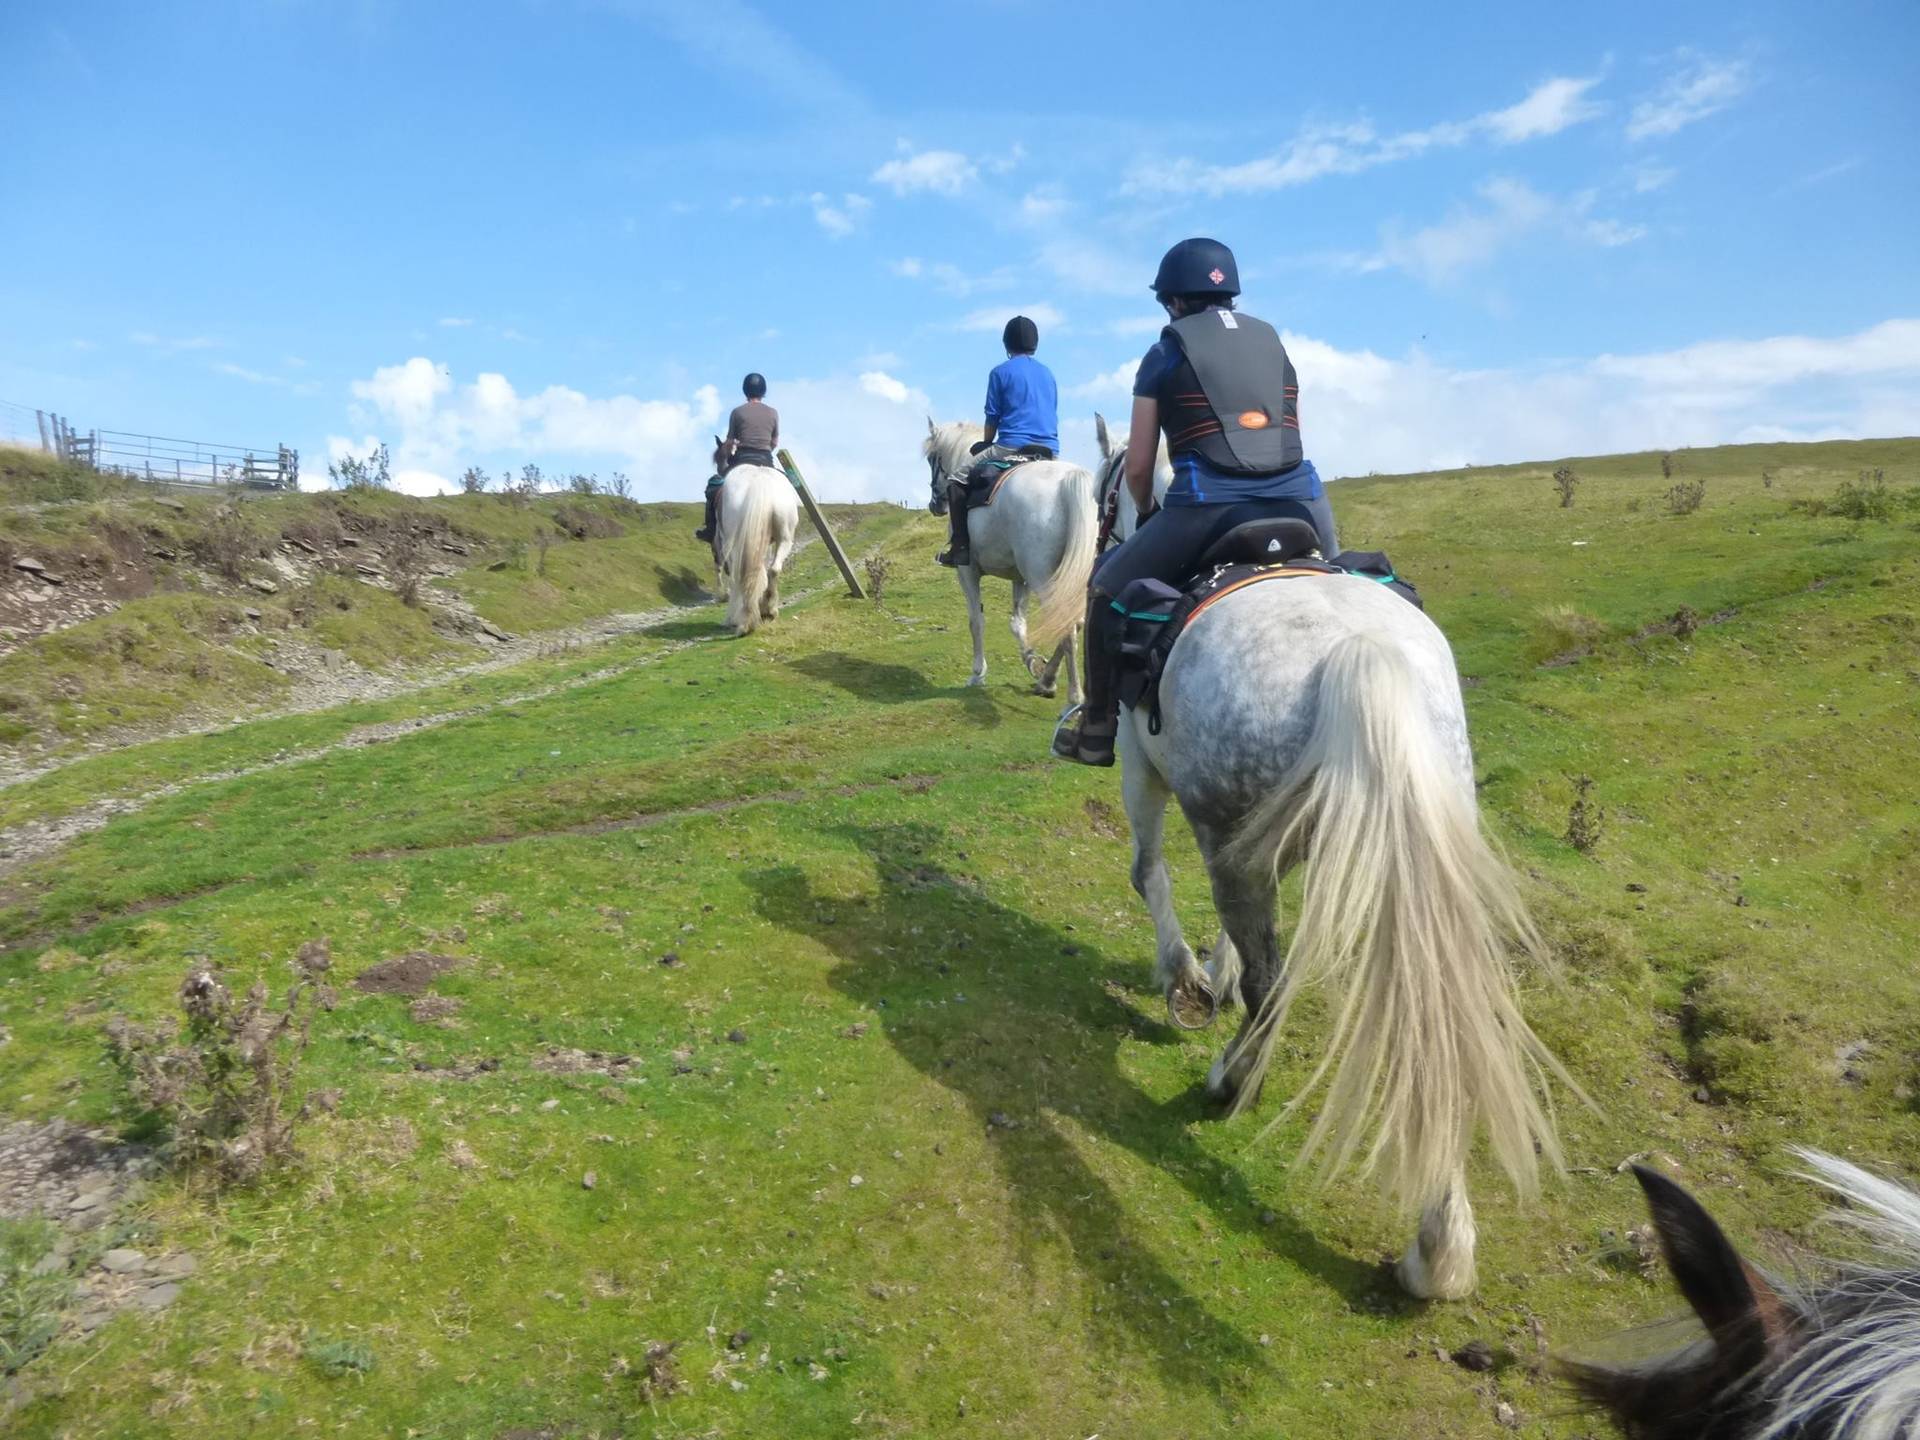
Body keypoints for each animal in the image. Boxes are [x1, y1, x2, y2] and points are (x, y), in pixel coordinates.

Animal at [718, 468, 798, 637]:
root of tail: (760, 479)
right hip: (785, 539)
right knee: (773, 570)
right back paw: (768, 611)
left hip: (737, 544)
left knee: (743, 575)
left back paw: (745, 621)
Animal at [925, 416, 1098, 698]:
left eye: (932, 458)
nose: (935, 505)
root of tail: (1069, 479)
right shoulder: (1020, 578)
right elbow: (1018, 623)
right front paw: (1033, 662)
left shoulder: (967, 572)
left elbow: (976, 621)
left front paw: (977, 674)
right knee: (1075, 621)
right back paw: (1047, 679)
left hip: (1044, 578)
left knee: (1067, 627)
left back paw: (1074, 695)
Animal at [1113, 560, 1574, 1297]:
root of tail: (1357, 652)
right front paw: (1213, 972)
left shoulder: (1137, 756)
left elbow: (1147, 870)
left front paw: (1185, 980)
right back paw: (1438, 1250)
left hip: (1226, 832)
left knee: (1269, 986)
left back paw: (1231, 1081)